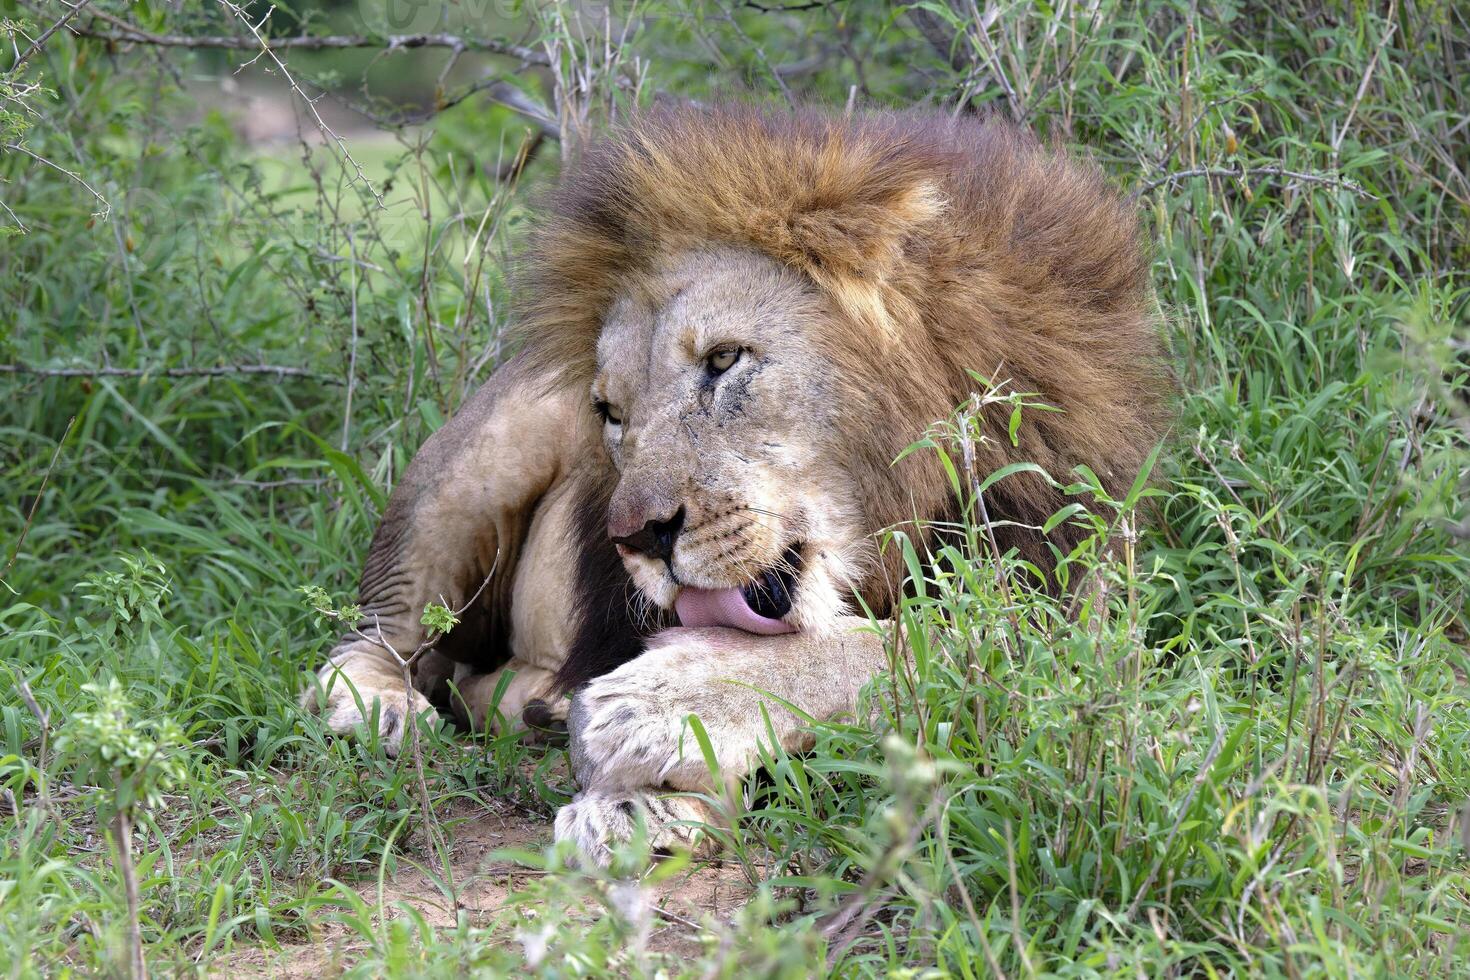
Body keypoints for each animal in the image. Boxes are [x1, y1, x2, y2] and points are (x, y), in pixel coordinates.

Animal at [301, 103, 1170, 863]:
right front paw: (645, 777)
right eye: (610, 412)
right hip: (474, 468)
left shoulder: (1085, 621)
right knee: (371, 636)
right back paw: (380, 709)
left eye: (723, 360)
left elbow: (905, 643)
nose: (635, 538)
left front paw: (663, 719)